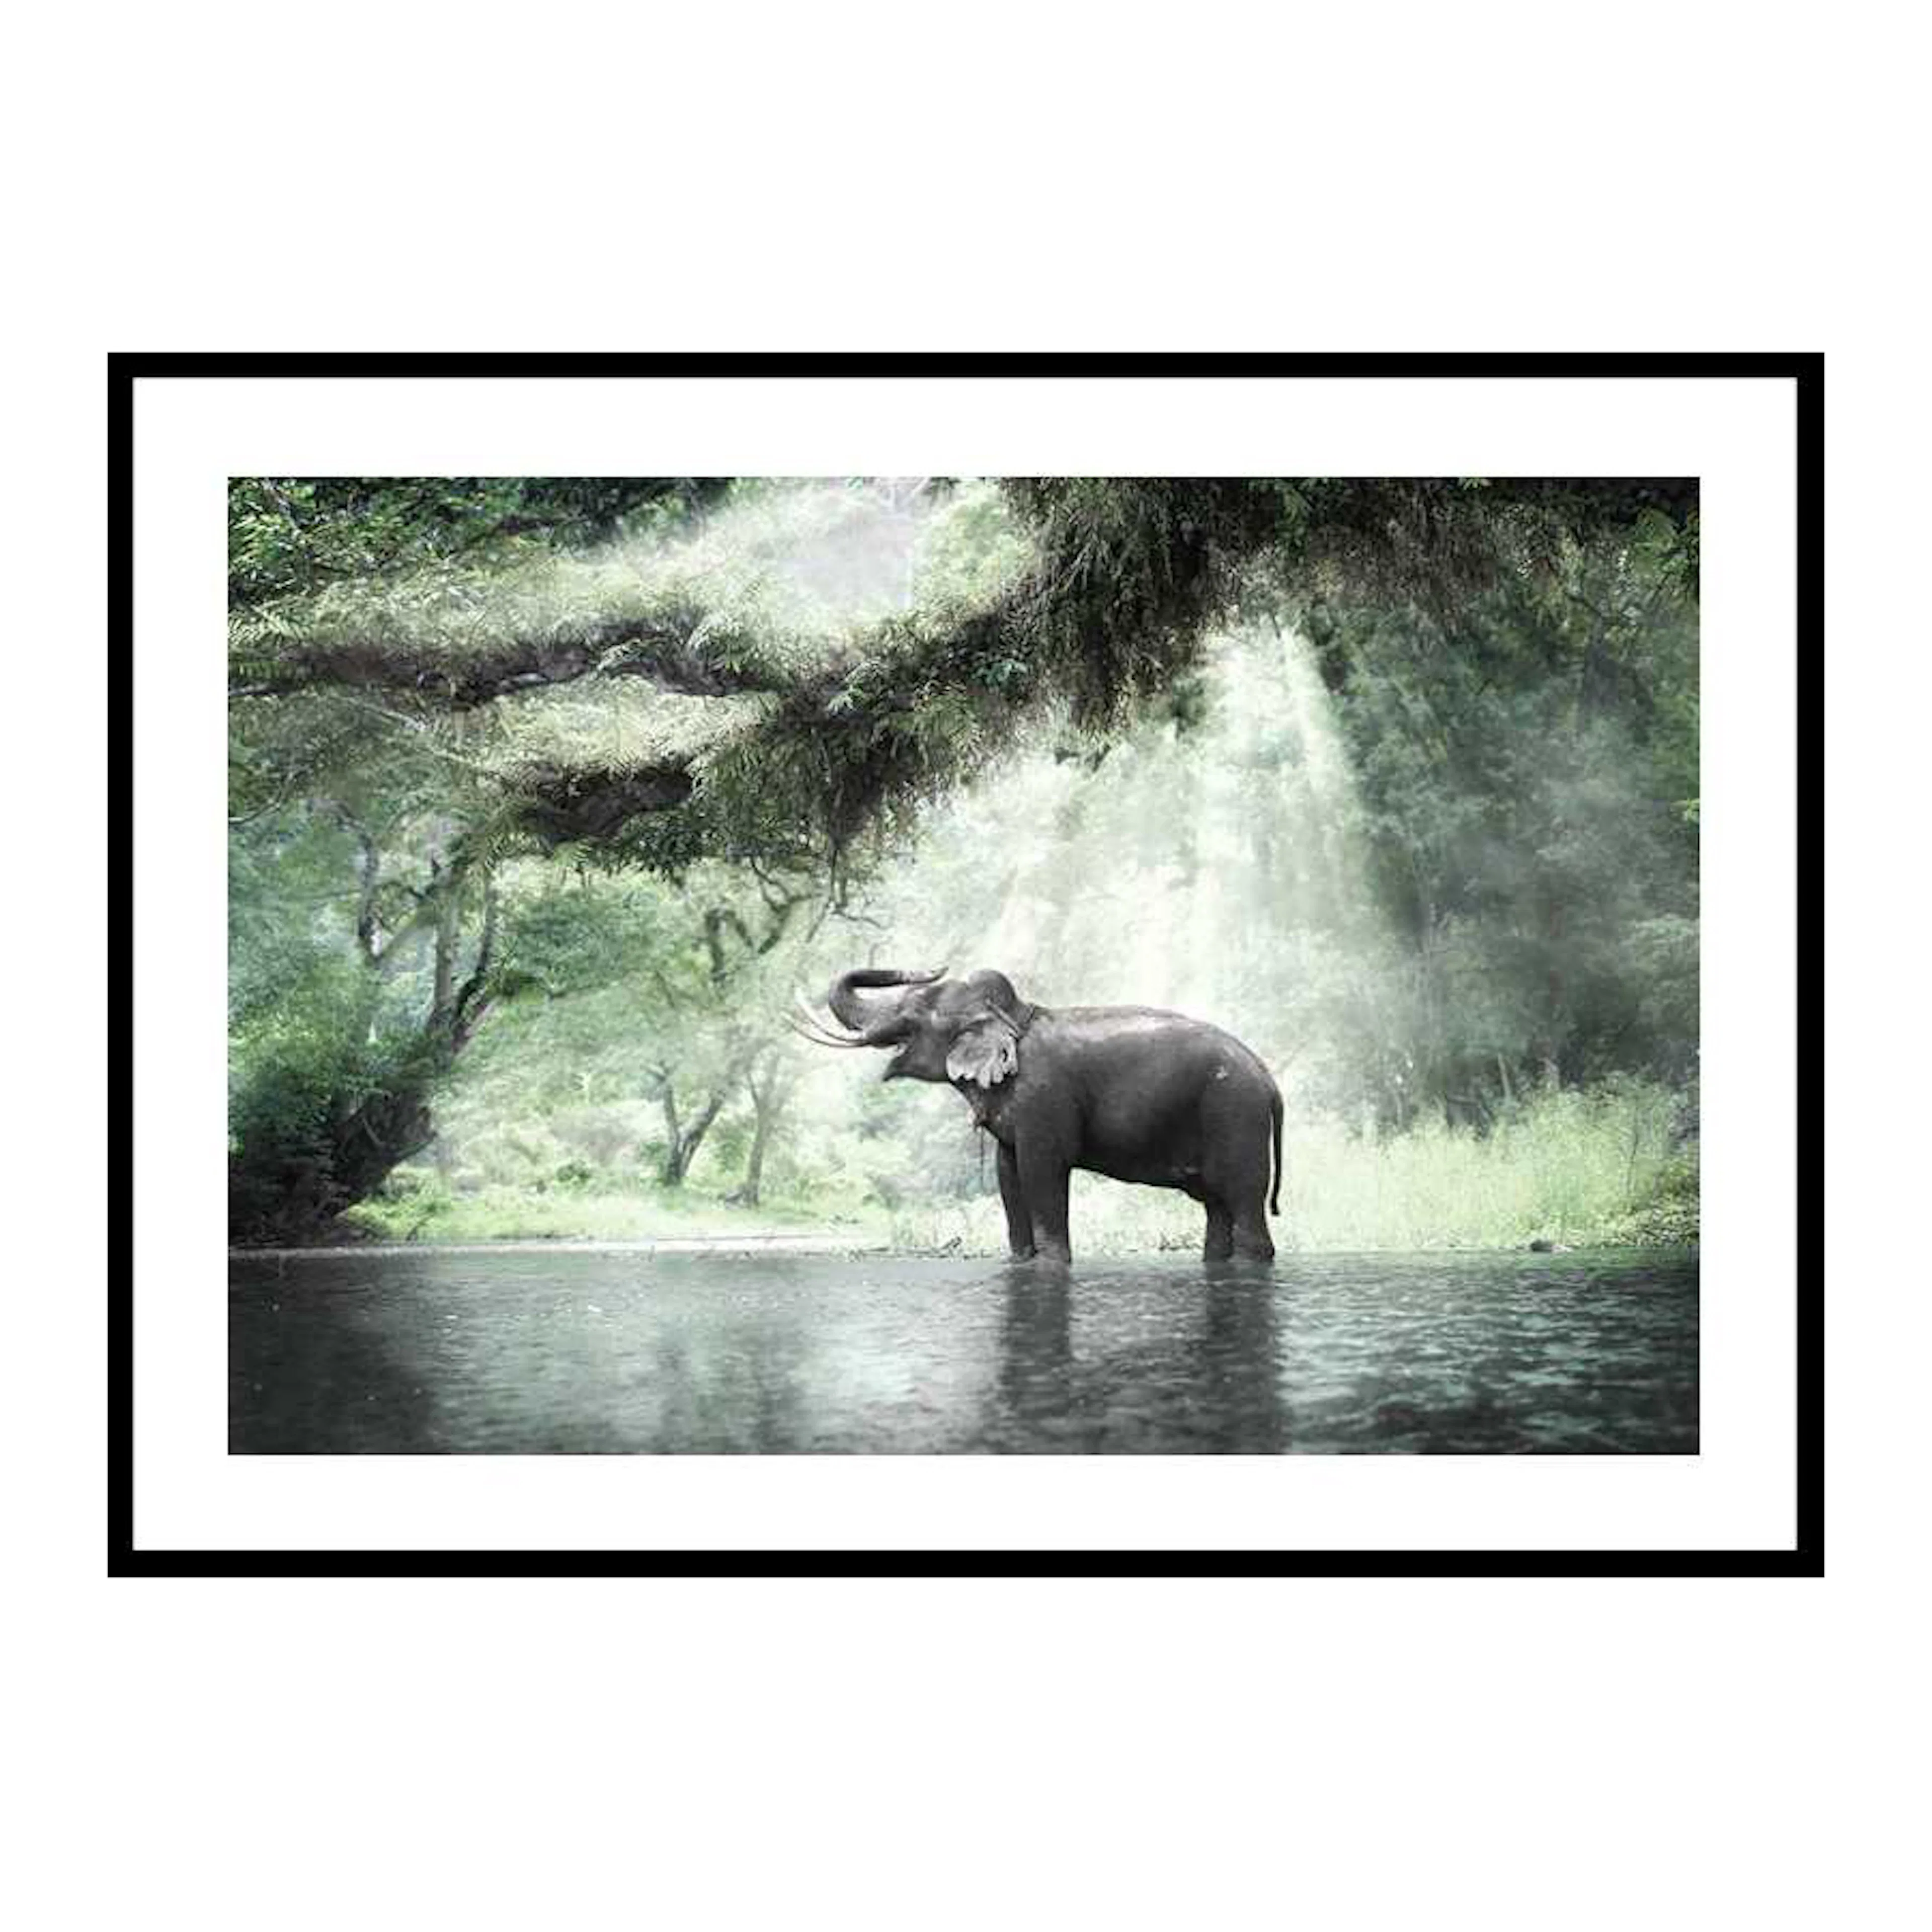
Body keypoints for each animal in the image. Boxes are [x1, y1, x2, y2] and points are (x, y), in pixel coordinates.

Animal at [795, 966, 1283, 1264]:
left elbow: (1042, 1169)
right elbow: (1008, 1175)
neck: (1015, 1016)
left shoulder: (1044, 1098)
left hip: (1236, 1116)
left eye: (911, 1016)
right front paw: (1019, 1261)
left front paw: (1051, 1263)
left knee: (1244, 1203)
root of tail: (1269, 1081)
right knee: (1217, 1209)